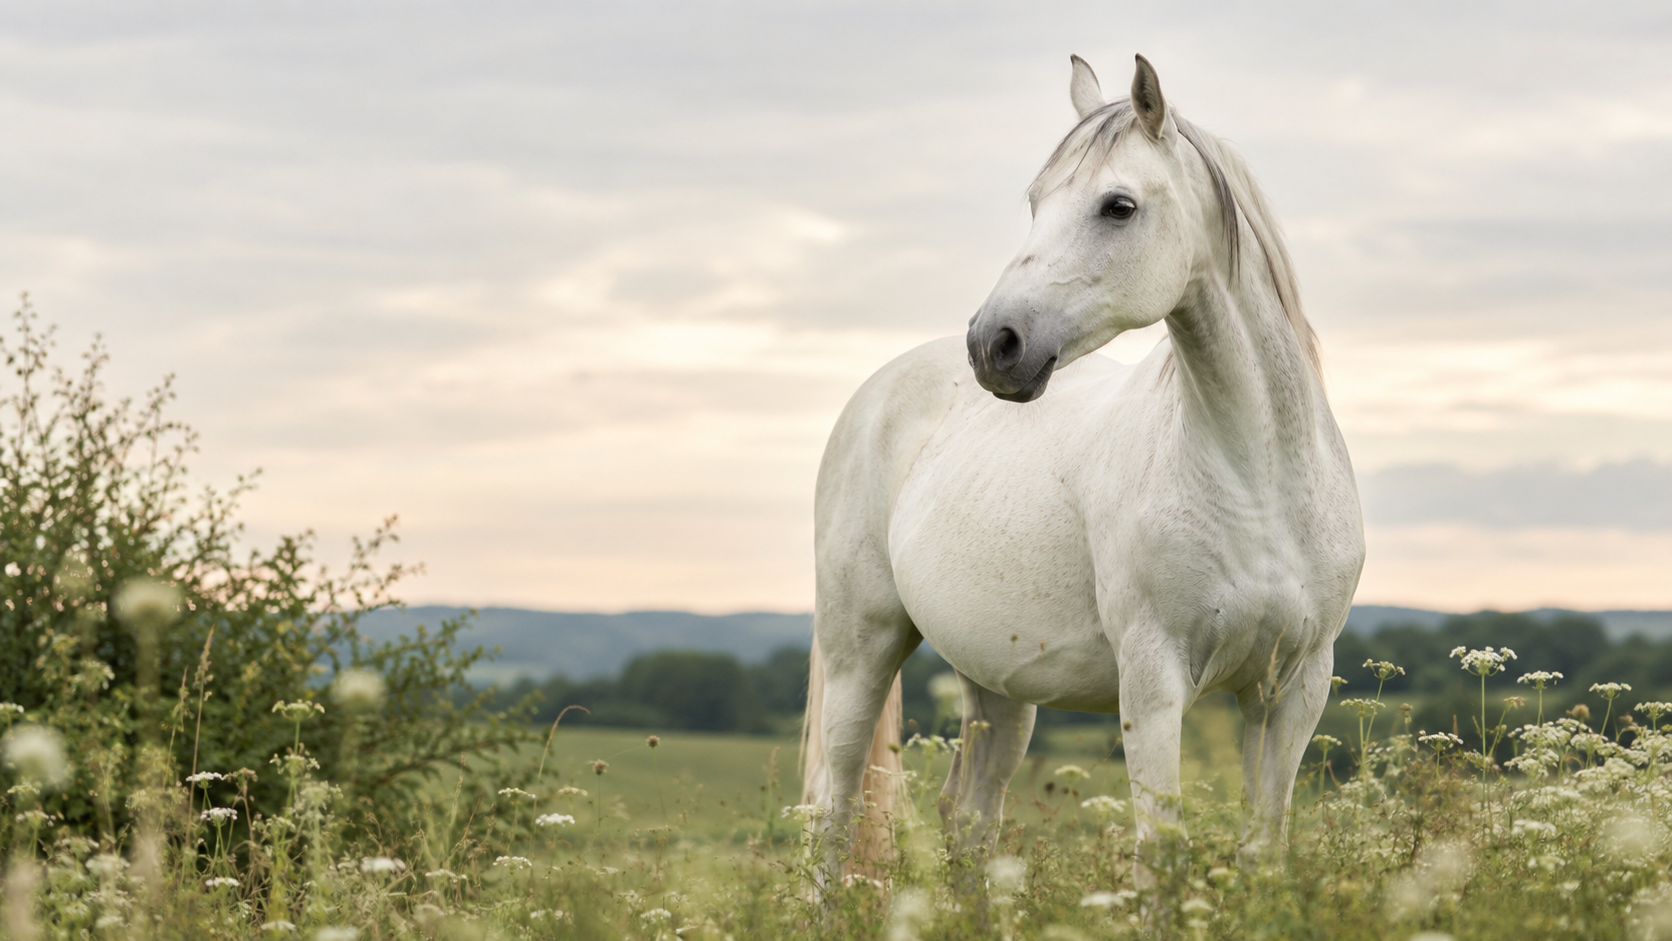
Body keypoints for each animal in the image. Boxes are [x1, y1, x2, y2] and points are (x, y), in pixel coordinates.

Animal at [799, 53, 1365, 884]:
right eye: (1036, 203)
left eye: (1117, 206)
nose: (993, 344)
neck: (1256, 483)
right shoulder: (1154, 681)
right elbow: (1158, 849)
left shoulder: (1292, 689)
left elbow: (1264, 848)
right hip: (859, 651)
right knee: (832, 814)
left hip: (996, 685)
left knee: (968, 813)